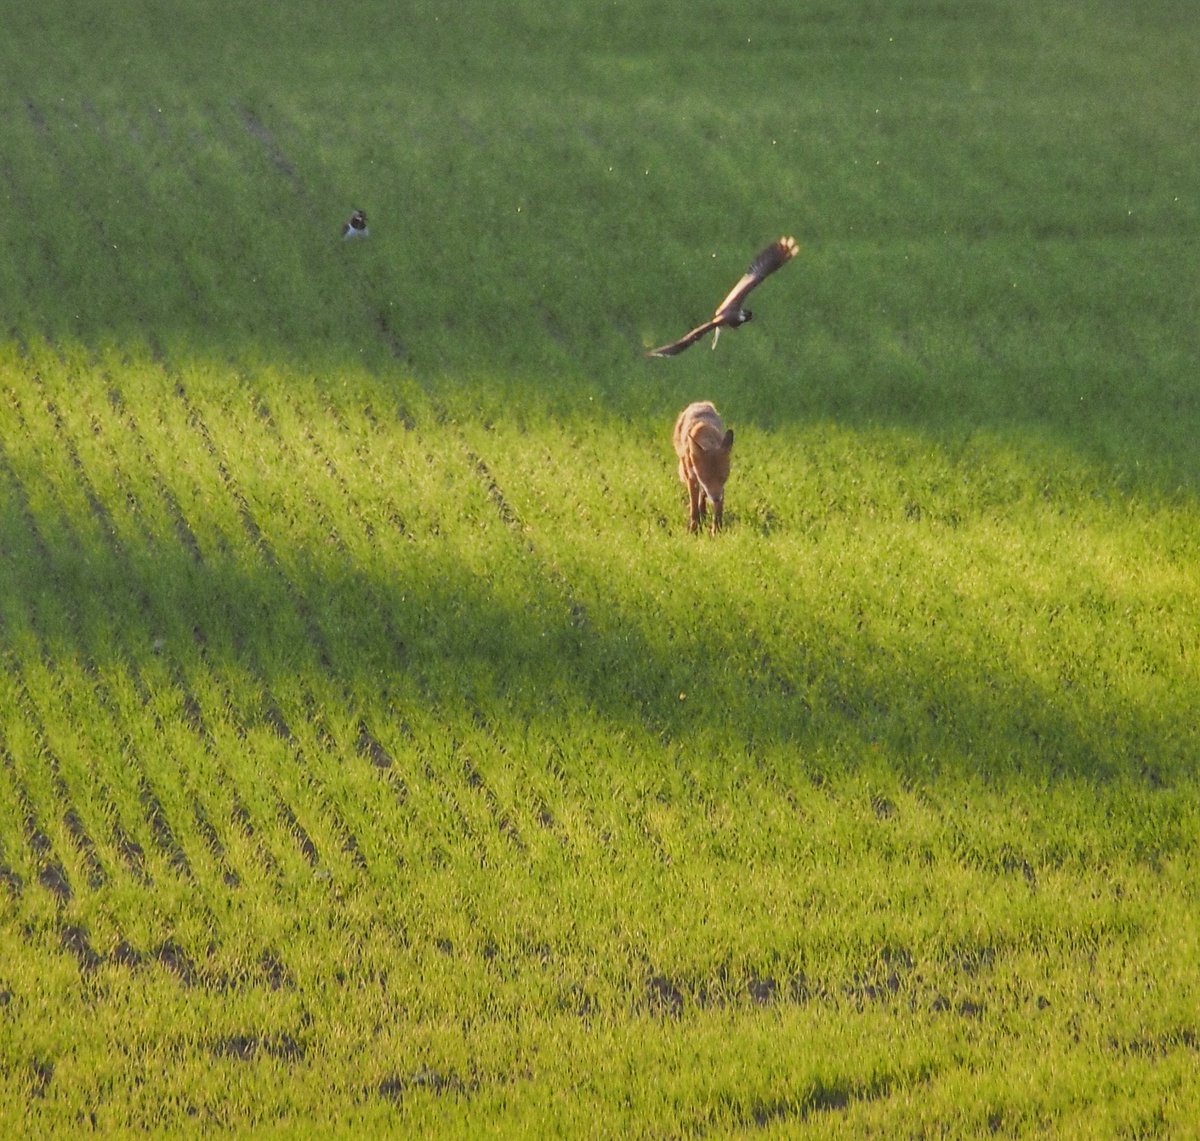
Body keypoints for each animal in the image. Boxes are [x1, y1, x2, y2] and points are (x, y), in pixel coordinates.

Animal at [676, 400, 729, 535]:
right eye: (706, 478)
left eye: (723, 478)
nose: (716, 498)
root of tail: (700, 403)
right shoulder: (692, 478)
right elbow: (694, 507)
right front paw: (694, 529)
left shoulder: (720, 488)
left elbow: (718, 510)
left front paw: (717, 531)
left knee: (703, 496)